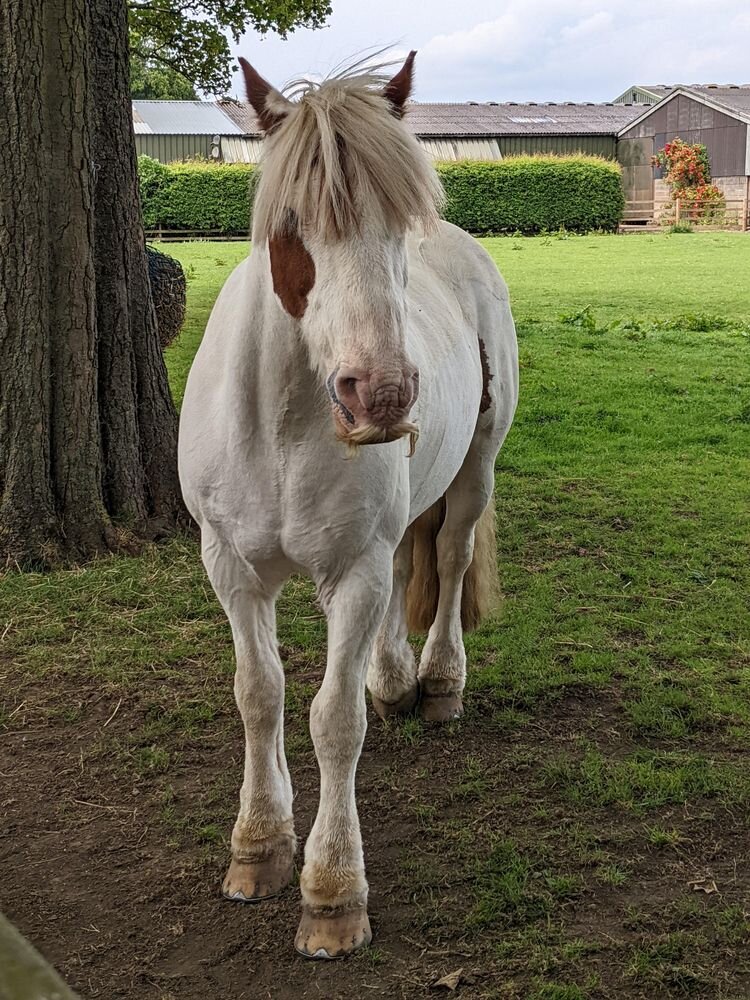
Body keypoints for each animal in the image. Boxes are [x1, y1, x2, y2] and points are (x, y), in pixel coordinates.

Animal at [178, 54, 516, 960]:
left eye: (400, 225)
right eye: (293, 223)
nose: (384, 395)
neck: (284, 424)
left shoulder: (353, 573)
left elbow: (333, 721)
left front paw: (332, 892)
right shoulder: (230, 568)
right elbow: (258, 694)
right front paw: (259, 845)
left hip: (475, 471)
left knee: (448, 558)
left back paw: (436, 681)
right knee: (409, 566)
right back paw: (393, 679)